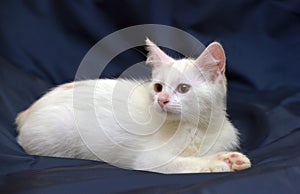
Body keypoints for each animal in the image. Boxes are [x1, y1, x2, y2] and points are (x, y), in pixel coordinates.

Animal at [16, 38, 251, 174]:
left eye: (183, 88)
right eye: (158, 87)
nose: (161, 100)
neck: (199, 128)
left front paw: (230, 157)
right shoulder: (150, 159)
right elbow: (186, 163)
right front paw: (218, 162)